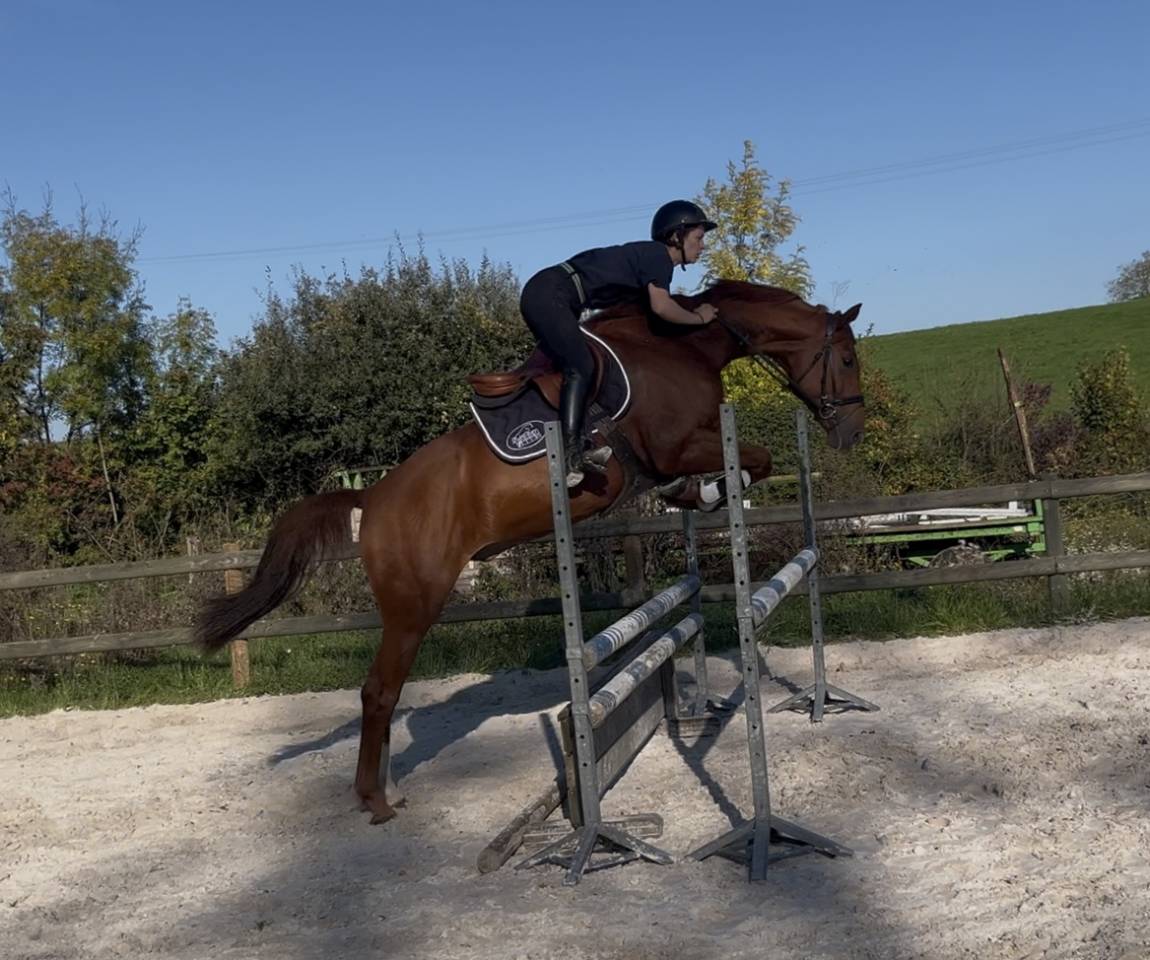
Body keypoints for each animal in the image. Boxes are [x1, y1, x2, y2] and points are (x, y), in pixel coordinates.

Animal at [196, 280, 866, 824]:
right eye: (848, 358)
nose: (851, 434)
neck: (684, 347)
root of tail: (374, 495)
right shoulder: (677, 445)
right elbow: (757, 458)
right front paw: (707, 490)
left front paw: (694, 494)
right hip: (414, 607)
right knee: (378, 693)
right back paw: (375, 802)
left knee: (384, 694)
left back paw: (386, 790)